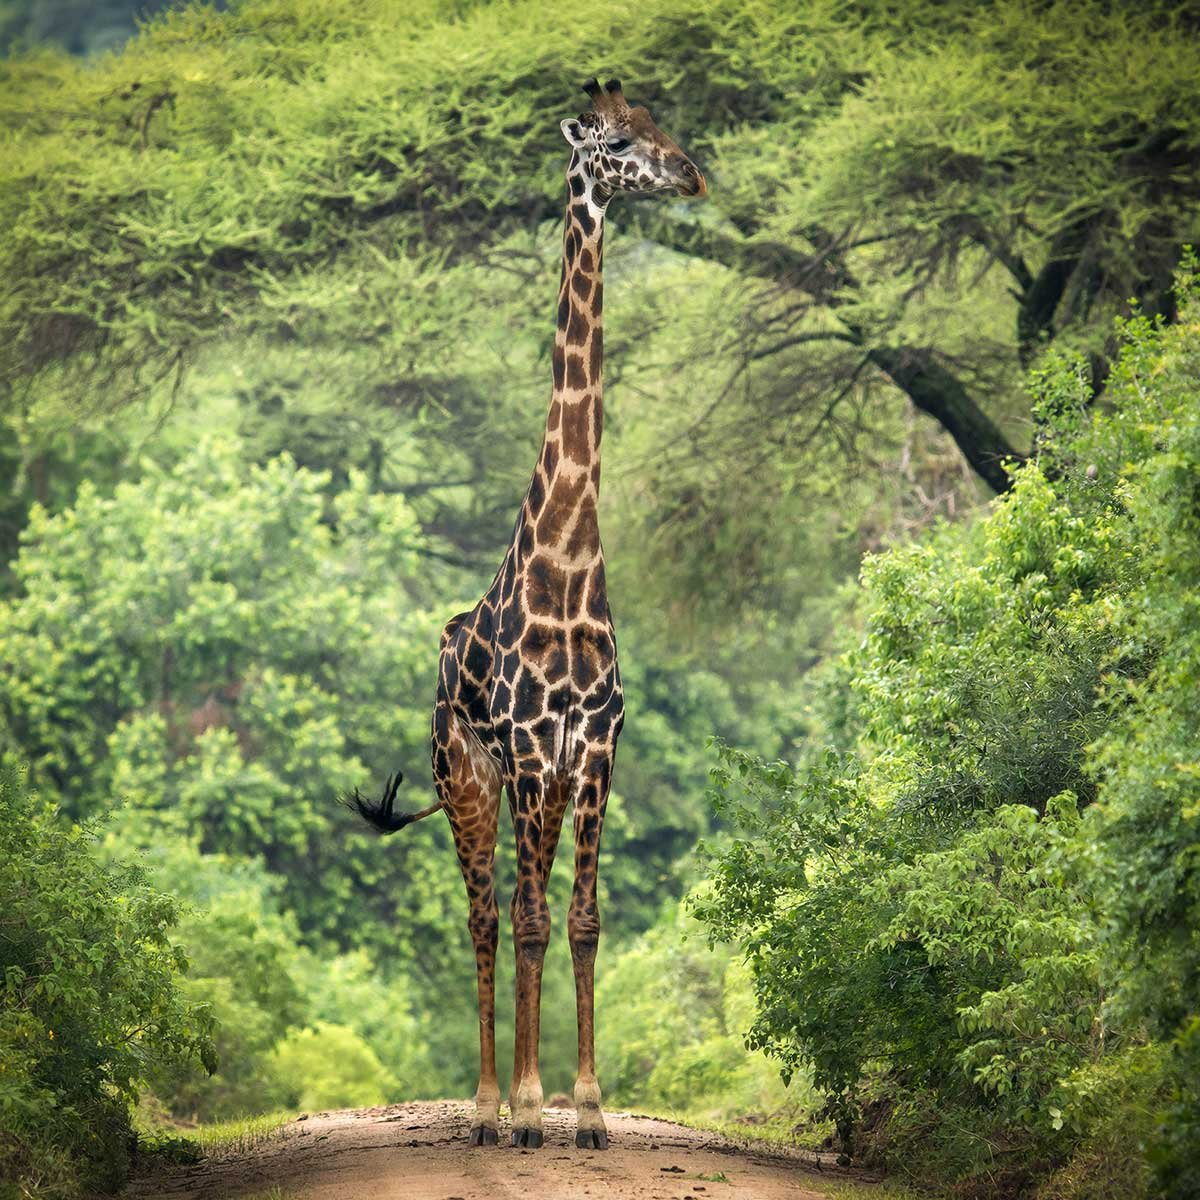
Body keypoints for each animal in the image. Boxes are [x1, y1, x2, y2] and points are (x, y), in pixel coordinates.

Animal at [347, 77, 705, 1151]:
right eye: (619, 142)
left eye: (659, 124)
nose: (692, 174)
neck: (571, 563)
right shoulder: (533, 753)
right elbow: (533, 919)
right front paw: (537, 1106)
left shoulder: (595, 750)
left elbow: (580, 921)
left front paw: (586, 1109)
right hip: (467, 778)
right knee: (485, 914)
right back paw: (486, 1108)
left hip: (521, 785)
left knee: (517, 907)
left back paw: (515, 1103)